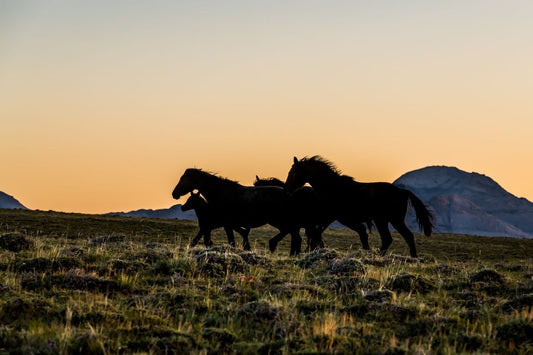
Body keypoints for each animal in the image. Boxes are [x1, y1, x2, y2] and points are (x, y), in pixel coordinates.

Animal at [171, 170, 304, 256]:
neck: (220, 192)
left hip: (278, 220)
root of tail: (290, 194)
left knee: (293, 235)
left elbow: (232, 241)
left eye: (182, 179)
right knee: (294, 236)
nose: (174, 194)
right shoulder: (227, 225)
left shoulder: (226, 224)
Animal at [284, 157, 430, 258]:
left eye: (292, 172)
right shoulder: (330, 219)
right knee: (389, 239)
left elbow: (361, 233)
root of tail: (402, 191)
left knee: (405, 236)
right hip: (383, 221)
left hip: (393, 220)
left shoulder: (340, 219)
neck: (332, 188)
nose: (286, 189)